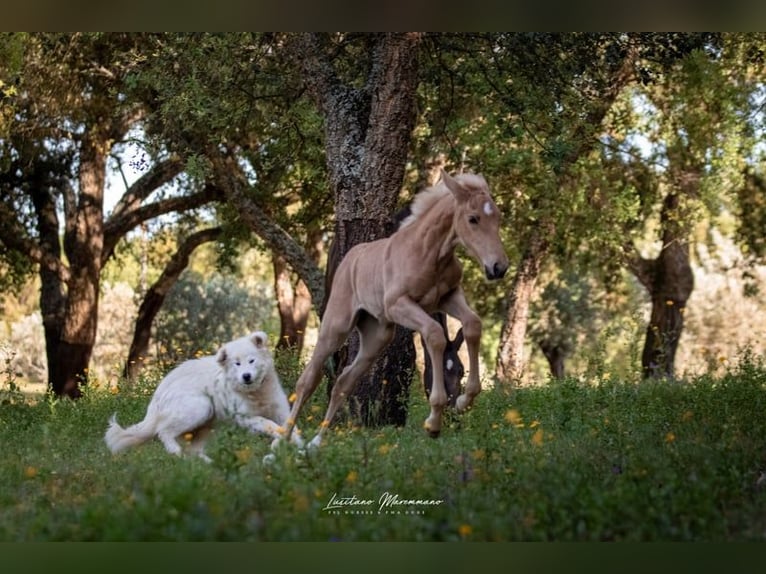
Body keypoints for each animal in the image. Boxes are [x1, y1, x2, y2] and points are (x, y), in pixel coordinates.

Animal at [105, 330, 304, 462]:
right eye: (237, 364)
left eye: (251, 360)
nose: (246, 376)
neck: (255, 392)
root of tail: (159, 392)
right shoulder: (246, 417)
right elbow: (270, 424)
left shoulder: (281, 410)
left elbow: (290, 427)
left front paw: (299, 446)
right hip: (200, 407)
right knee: (163, 431)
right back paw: (176, 452)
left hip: (206, 425)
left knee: (193, 449)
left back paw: (207, 465)